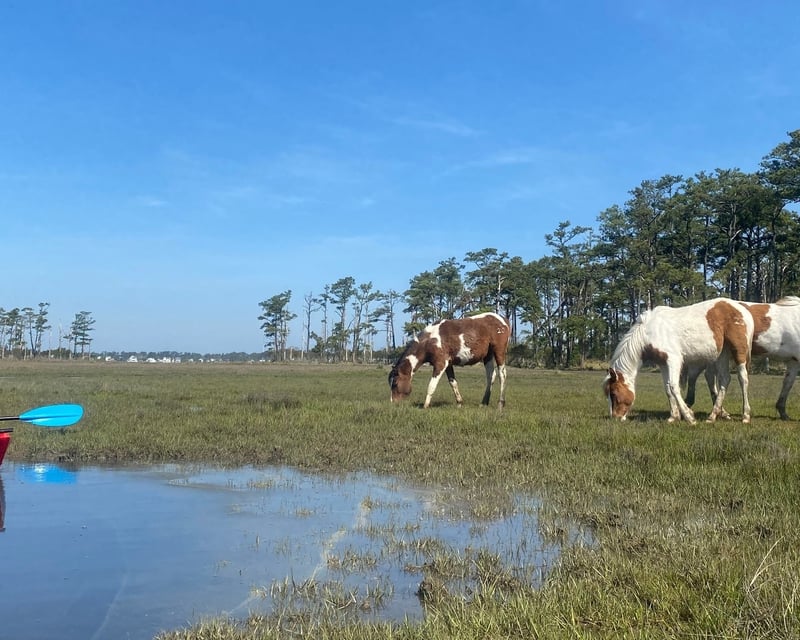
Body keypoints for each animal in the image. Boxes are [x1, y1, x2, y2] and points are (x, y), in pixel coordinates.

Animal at [604, 298, 754, 423]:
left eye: (614, 393)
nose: (615, 417)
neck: (650, 332)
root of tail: (743, 310)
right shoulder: (663, 363)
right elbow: (667, 388)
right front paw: (674, 416)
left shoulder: (673, 360)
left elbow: (674, 387)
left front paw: (689, 417)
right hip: (722, 354)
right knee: (725, 380)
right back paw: (712, 416)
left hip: (738, 352)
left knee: (743, 379)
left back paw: (745, 416)